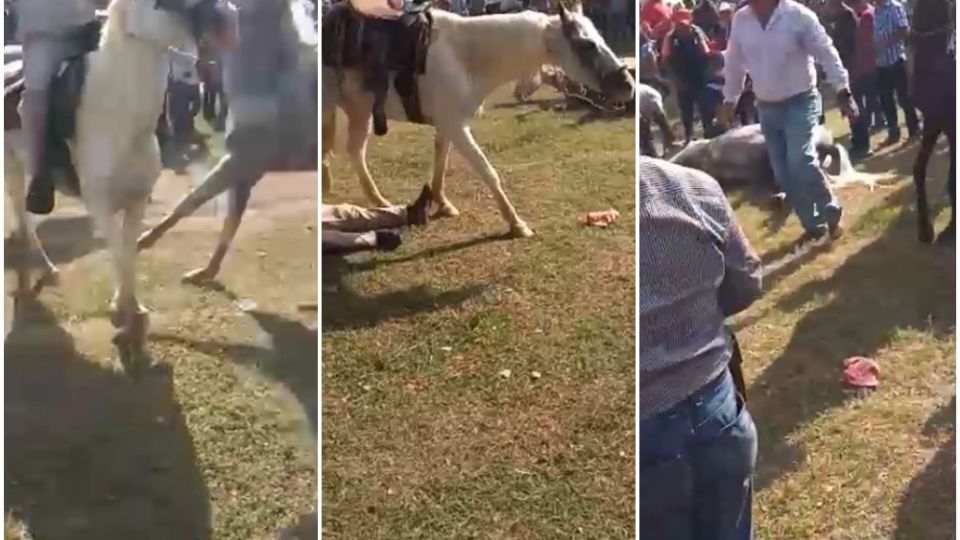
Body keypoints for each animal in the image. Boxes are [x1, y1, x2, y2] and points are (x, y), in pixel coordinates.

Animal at [5, 0, 234, 352]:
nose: (227, 20)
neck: (117, 115)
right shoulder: (99, 204)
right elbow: (118, 253)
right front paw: (123, 312)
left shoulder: (136, 200)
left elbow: (128, 252)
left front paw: (131, 307)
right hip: (13, 169)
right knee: (23, 217)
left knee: (23, 222)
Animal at [324, 1, 636, 236]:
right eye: (586, 45)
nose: (628, 85)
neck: (466, 56)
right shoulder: (456, 125)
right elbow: (487, 171)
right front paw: (516, 223)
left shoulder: (448, 123)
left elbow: (441, 159)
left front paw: (442, 203)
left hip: (358, 111)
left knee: (350, 152)